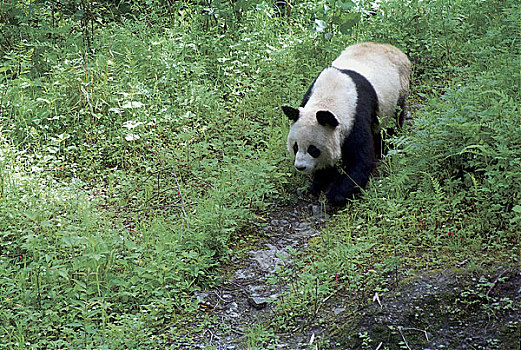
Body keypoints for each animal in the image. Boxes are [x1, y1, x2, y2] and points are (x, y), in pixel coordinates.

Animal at [282, 41, 408, 205]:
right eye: (295, 146)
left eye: (313, 149)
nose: (300, 167)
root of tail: (390, 47)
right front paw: (319, 184)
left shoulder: (356, 114)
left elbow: (360, 158)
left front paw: (337, 194)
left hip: (398, 91)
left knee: (392, 123)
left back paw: (385, 147)